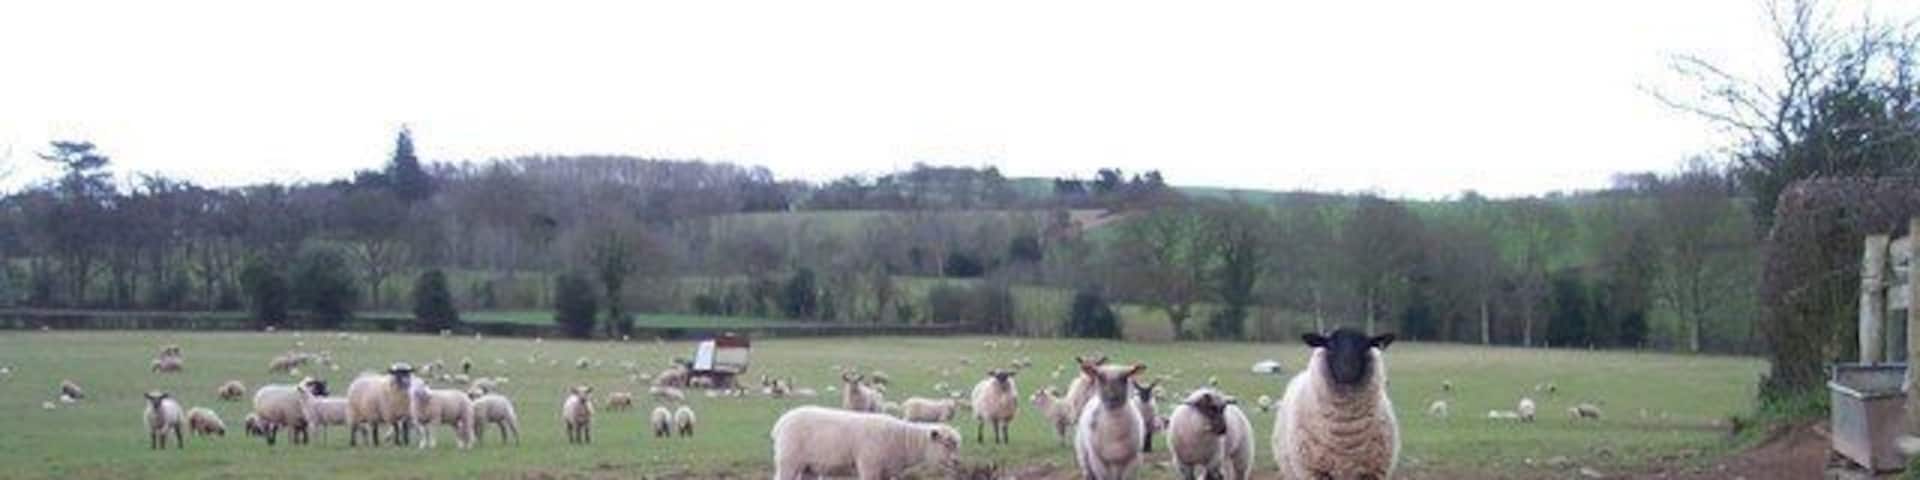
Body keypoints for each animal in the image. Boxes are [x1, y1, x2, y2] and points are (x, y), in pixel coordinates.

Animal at [770, 406, 963, 479]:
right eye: (946, 443)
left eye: (956, 444)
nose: (957, 462)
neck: (904, 440)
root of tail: (780, 424)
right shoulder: (870, 467)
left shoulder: (886, 472)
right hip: (788, 461)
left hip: (808, 466)